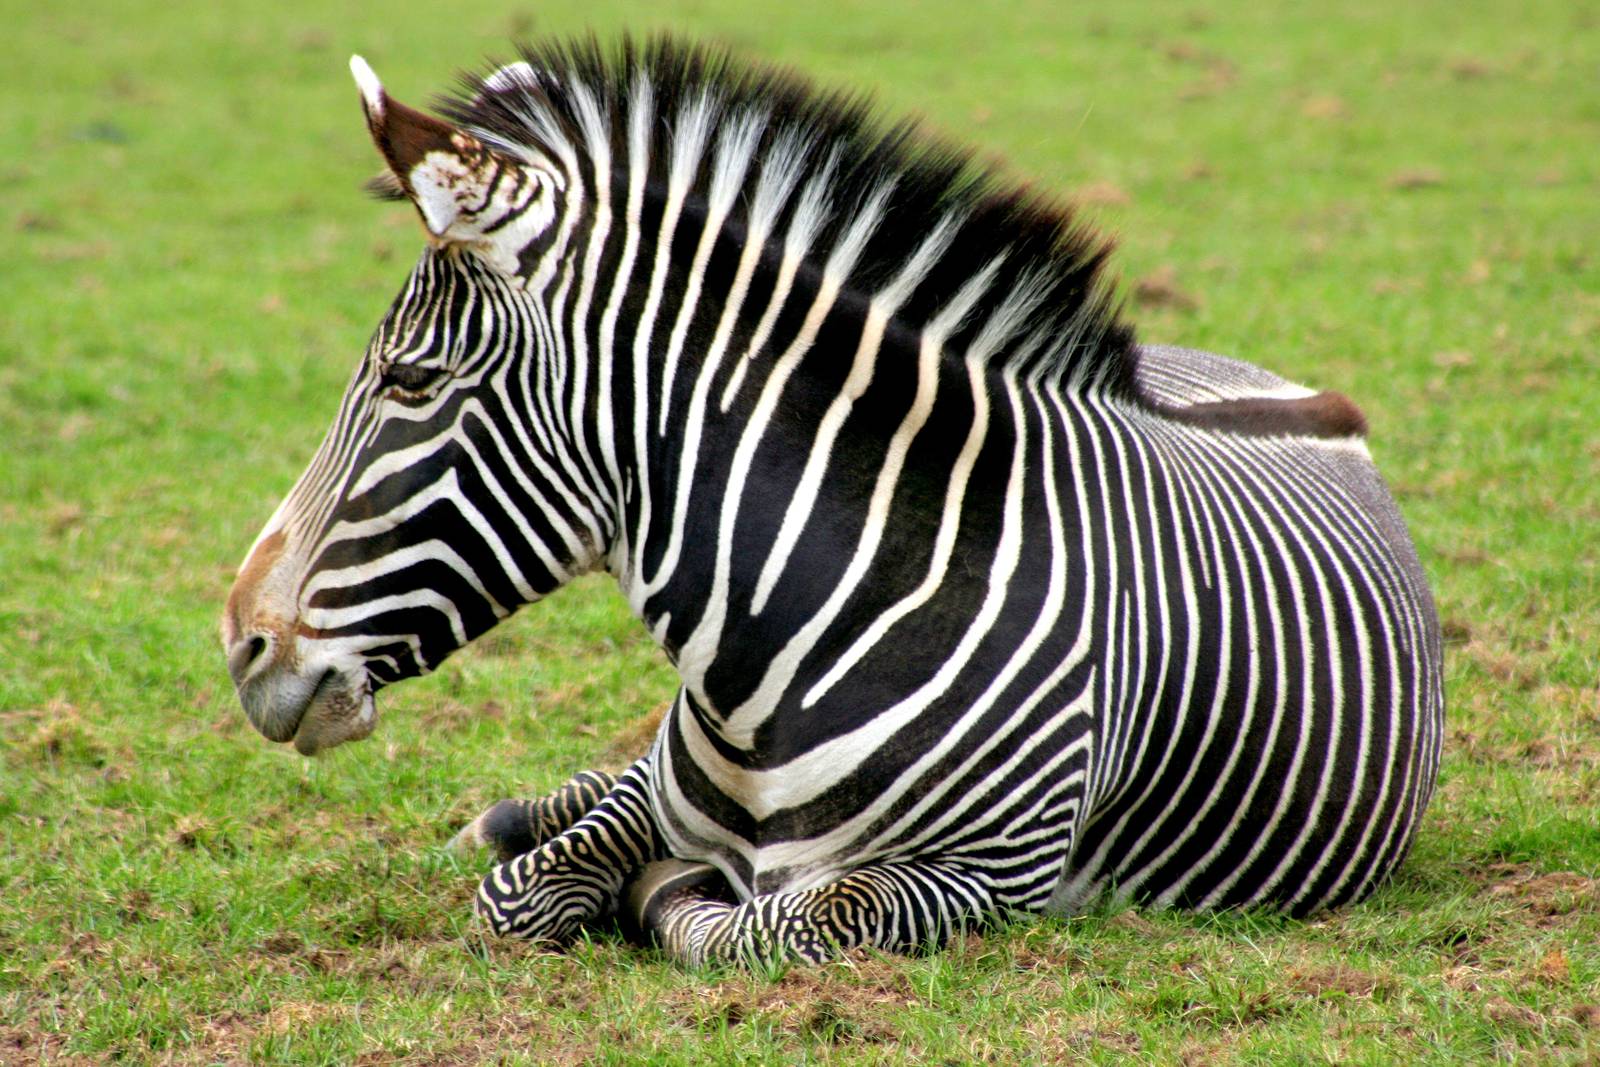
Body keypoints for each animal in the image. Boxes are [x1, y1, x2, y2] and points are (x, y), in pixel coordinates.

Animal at [221, 38, 1444, 965]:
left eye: (409, 381)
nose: (240, 643)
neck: (774, 660)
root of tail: (1286, 385)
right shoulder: (663, 789)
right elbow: (524, 890)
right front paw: (570, 856)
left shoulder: (979, 874)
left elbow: (760, 925)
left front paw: (664, 895)